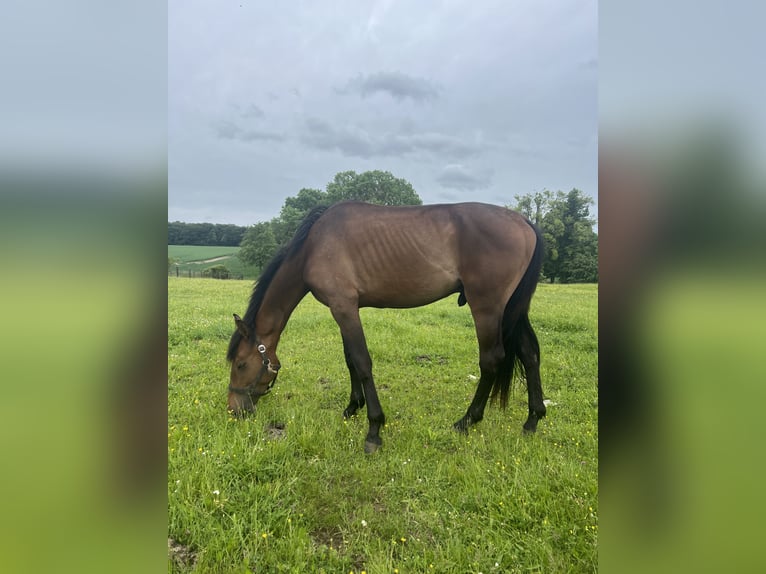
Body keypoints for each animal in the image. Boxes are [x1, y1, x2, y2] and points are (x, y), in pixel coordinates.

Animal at [226, 201, 546, 453]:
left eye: (240, 364)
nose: (233, 410)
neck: (314, 247)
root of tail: (524, 222)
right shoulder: (344, 308)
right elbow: (350, 360)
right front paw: (352, 407)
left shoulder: (343, 307)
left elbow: (362, 362)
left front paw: (374, 430)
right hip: (513, 310)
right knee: (529, 354)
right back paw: (532, 419)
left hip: (488, 308)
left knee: (491, 361)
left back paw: (467, 420)